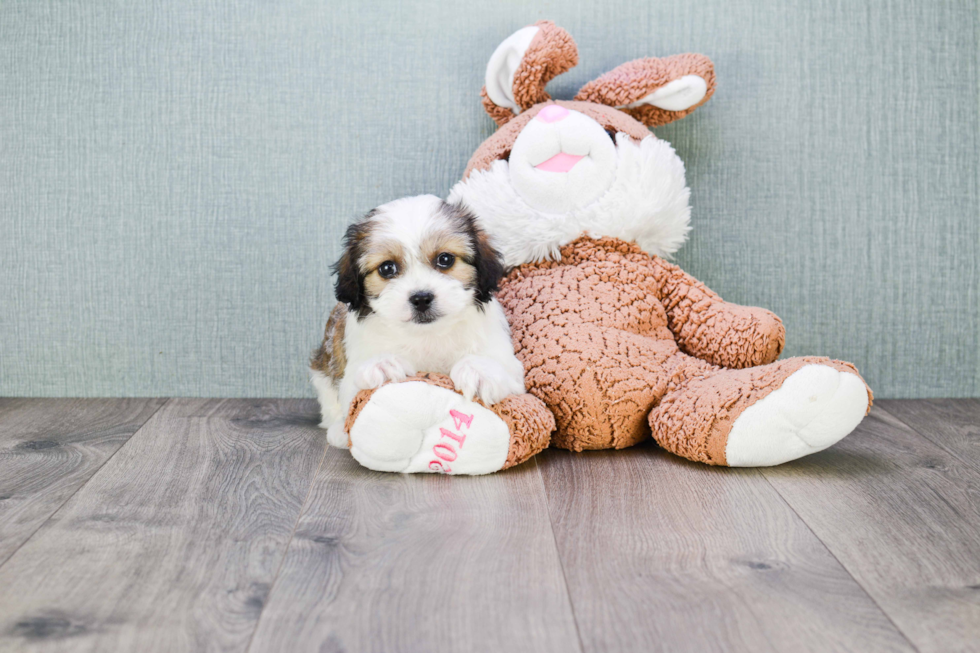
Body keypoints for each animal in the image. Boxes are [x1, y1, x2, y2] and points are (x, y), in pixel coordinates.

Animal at [310, 194, 524, 448]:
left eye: (445, 259)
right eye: (387, 268)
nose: (421, 298)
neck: (427, 334)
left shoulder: (513, 372)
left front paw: (478, 370)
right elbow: (354, 394)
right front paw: (382, 364)